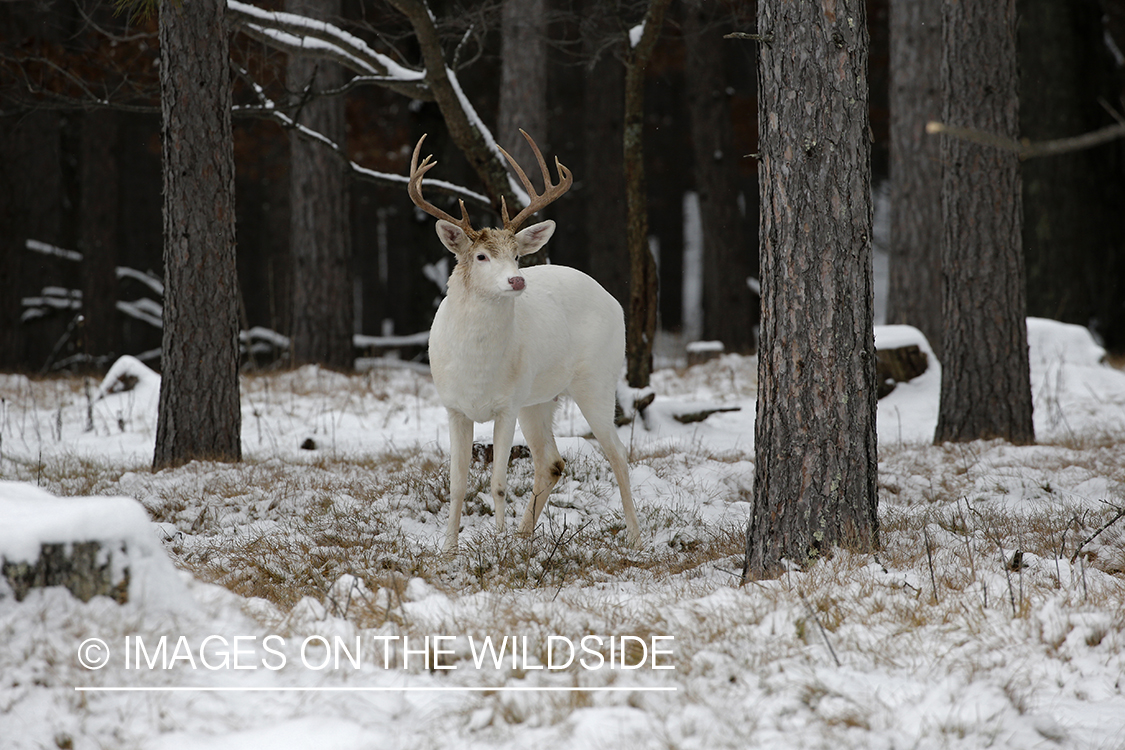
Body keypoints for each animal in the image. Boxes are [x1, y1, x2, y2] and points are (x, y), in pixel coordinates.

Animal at [411, 129, 643, 555]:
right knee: (552, 462)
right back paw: (524, 536)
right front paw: (449, 549)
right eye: (481, 256)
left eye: (517, 255)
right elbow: (457, 484)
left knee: (618, 453)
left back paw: (635, 537)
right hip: (538, 399)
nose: (517, 279)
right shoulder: (453, 406)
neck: (477, 368)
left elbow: (499, 483)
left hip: (596, 381)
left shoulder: (507, 404)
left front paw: (498, 545)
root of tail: (614, 300)